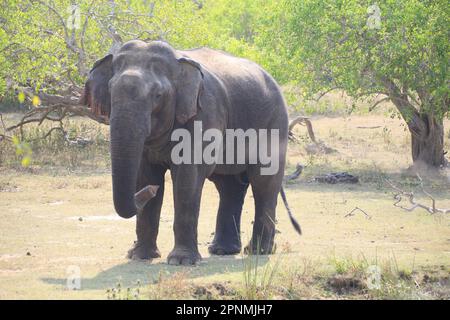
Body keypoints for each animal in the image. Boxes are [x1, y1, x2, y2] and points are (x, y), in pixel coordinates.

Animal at [81, 40, 298, 264]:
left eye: (158, 95)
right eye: (110, 91)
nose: (152, 190)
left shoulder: (204, 114)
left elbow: (187, 177)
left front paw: (181, 261)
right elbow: (144, 175)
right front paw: (140, 256)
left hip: (274, 123)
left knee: (264, 182)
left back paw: (257, 251)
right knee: (229, 186)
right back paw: (222, 250)